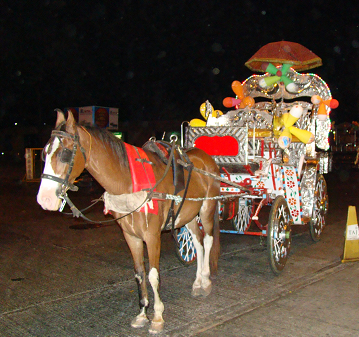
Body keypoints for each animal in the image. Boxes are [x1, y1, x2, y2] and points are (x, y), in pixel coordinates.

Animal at [38, 110, 221, 334]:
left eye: (65, 152)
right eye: (44, 153)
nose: (44, 199)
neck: (129, 183)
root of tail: (205, 158)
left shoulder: (152, 236)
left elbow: (153, 275)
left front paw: (157, 317)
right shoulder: (131, 236)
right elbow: (139, 274)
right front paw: (142, 314)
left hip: (206, 208)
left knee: (208, 240)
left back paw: (206, 280)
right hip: (187, 215)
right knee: (198, 243)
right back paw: (197, 282)